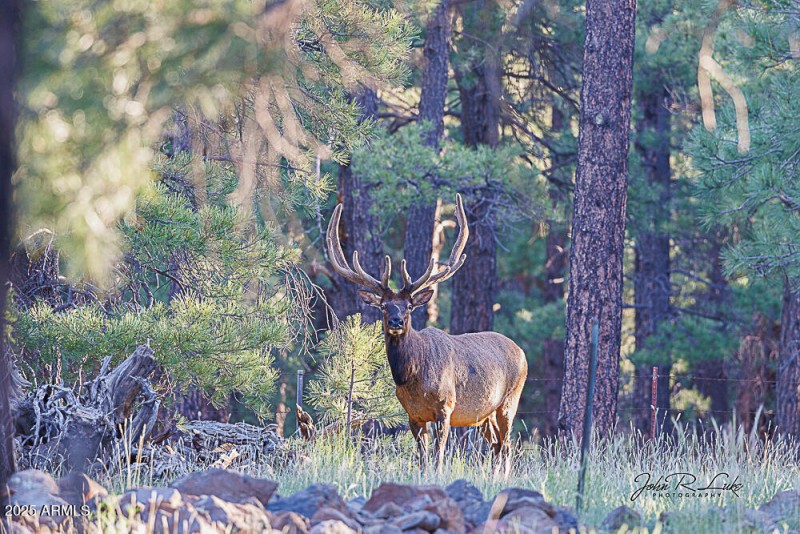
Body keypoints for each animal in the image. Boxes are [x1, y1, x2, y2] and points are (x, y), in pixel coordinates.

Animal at [326, 194, 528, 470]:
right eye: (383, 306)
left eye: (409, 306)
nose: (397, 321)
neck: (413, 377)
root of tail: (522, 353)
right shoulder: (413, 415)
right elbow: (421, 457)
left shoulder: (446, 406)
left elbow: (438, 455)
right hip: (483, 414)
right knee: (497, 445)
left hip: (509, 400)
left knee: (506, 446)